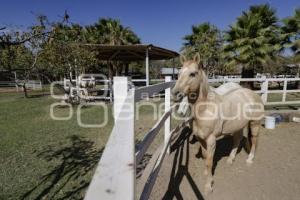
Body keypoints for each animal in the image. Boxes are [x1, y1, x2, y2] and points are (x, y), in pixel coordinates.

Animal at [172, 54, 264, 193]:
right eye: (179, 73)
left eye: (193, 74)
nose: (175, 94)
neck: (206, 108)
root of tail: (253, 94)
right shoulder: (201, 139)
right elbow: (205, 158)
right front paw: (207, 174)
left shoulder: (211, 140)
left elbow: (209, 161)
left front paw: (208, 186)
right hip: (238, 126)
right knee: (237, 140)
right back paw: (230, 159)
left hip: (255, 123)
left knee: (254, 140)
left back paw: (249, 160)